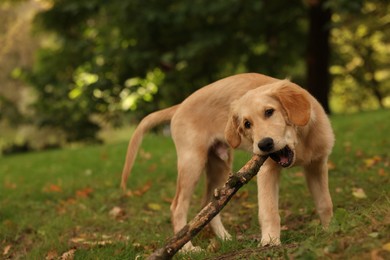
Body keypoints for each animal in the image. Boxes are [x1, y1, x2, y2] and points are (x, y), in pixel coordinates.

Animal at [122, 72, 336, 250]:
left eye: (269, 112)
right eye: (247, 124)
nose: (264, 144)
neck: (300, 144)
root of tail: (180, 105)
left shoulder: (317, 165)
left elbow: (325, 202)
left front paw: (329, 231)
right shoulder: (267, 170)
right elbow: (269, 210)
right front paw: (270, 241)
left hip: (220, 165)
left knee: (209, 204)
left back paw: (225, 239)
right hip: (192, 161)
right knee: (178, 206)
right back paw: (186, 248)